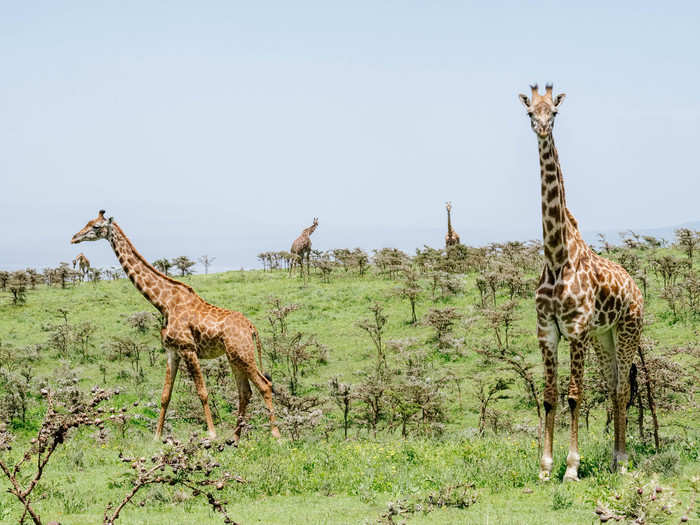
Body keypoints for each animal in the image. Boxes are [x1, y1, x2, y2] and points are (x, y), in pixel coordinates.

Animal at [70, 211, 278, 440]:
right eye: (88, 222)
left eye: (96, 227)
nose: (74, 238)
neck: (163, 303)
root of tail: (252, 327)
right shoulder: (172, 351)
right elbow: (165, 395)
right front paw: (156, 437)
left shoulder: (188, 349)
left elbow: (202, 392)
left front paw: (212, 434)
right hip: (234, 356)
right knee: (245, 391)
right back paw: (235, 437)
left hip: (243, 354)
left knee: (265, 385)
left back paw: (276, 435)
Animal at [516, 84, 644, 482]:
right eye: (530, 113)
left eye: (554, 112)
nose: (541, 129)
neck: (557, 257)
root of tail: (636, 288)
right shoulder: (547, 331)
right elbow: (548, 397)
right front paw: (545, 468)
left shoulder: (576, 331)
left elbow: (574, 395)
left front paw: (571, 469)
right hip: (605, 336)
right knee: (614, 384)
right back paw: (616, 458)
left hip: (629, 329)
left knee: (621, 388)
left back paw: (623, 461)